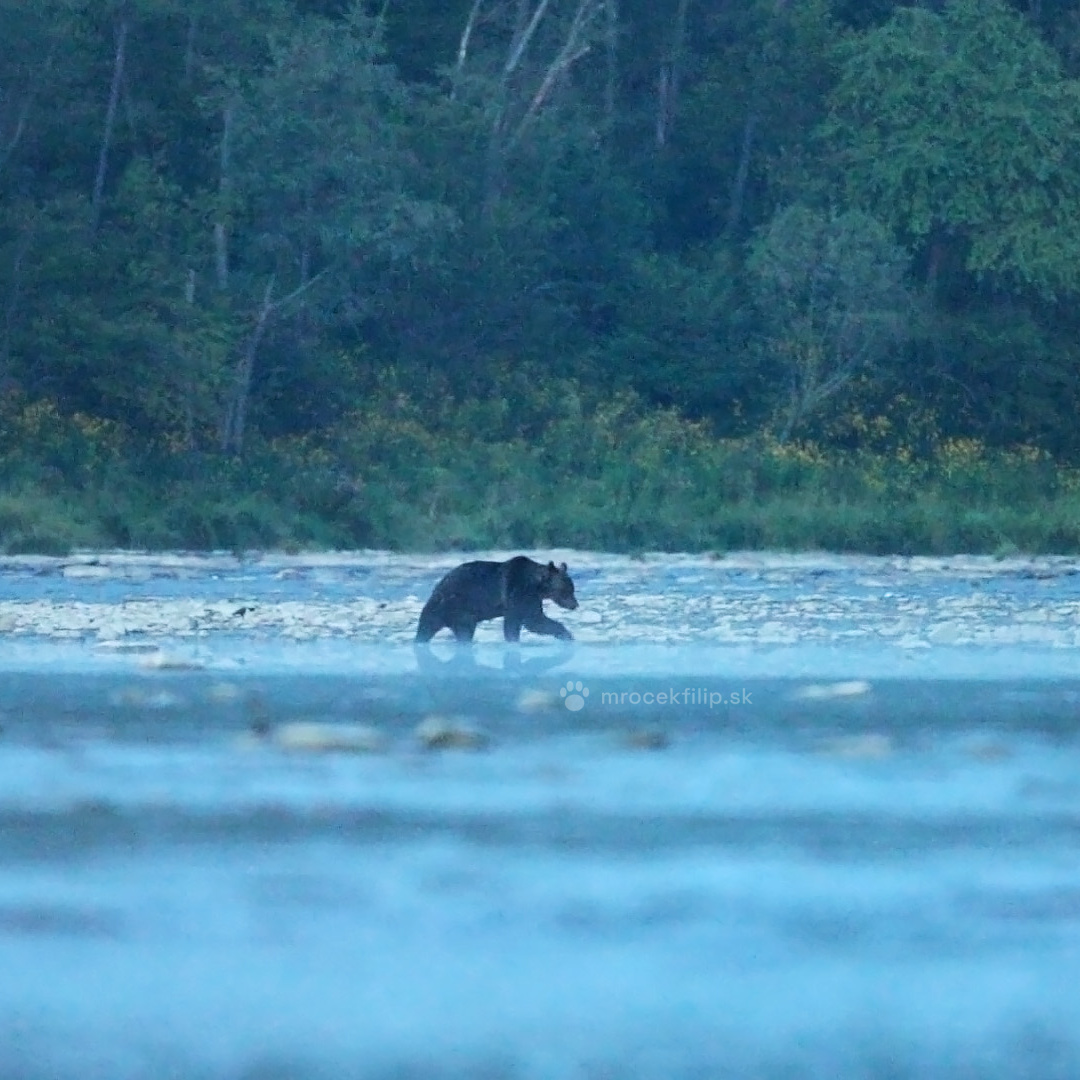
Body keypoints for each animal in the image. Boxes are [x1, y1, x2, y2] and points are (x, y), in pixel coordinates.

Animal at [415, 556, 578, 644]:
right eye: (566, 590)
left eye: (572, 589)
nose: (575, 605)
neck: (536, 585)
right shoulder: (518, 592)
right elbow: (528, 621)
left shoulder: (532, 598)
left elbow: (536, 620)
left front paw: (567, 635)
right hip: (457, 605)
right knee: (458, 628)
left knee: (429, 627)